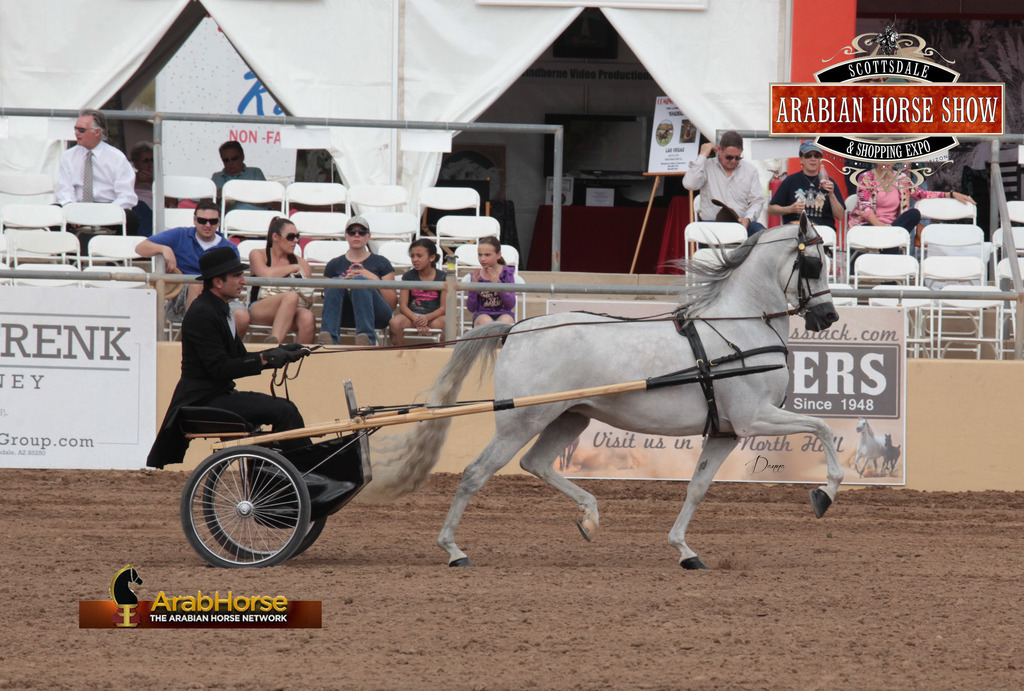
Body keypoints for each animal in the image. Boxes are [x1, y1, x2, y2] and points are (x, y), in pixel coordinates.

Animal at [368, 216, 841, 570]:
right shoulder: (753, 417)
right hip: (520, 421)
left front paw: (684, 550)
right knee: (475, 473)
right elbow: (822, 427)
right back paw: (453, 550)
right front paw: (824, 494)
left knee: (536, 463)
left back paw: (590, 518)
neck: (739, 331)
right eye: (813, 262)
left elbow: (697, 488)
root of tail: (516, 329)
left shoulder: (725, 432)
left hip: (568, 417)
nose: (828, 316)